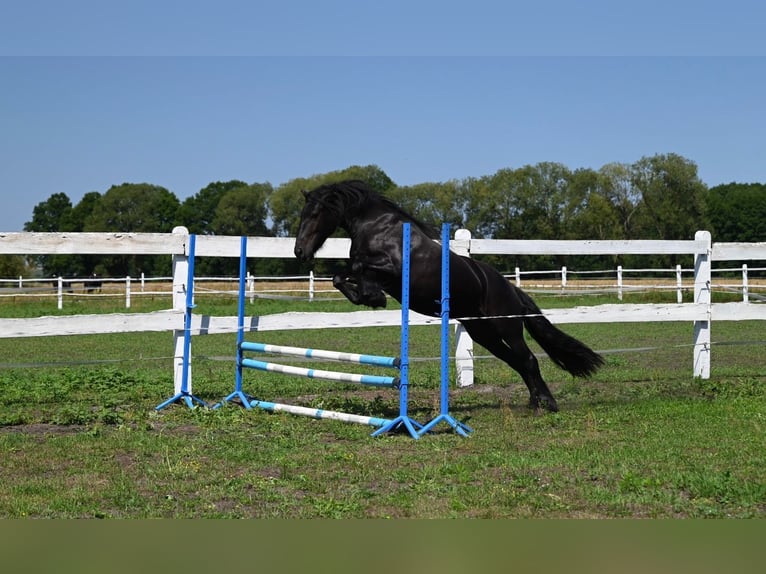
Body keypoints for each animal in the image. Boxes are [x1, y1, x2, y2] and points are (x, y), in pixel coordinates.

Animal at [293, 180, 604, 412]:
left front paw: (373, 296)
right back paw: (534, 402)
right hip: (484, 333)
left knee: (528, 360)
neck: (379, 228)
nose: (299, 252)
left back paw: (547, 404)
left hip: (507, 328)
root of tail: (512, 289)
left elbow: (358, 269)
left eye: (314, 214)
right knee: (517, 362)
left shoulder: (391, 268)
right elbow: (340, 276)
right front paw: (369, 296)